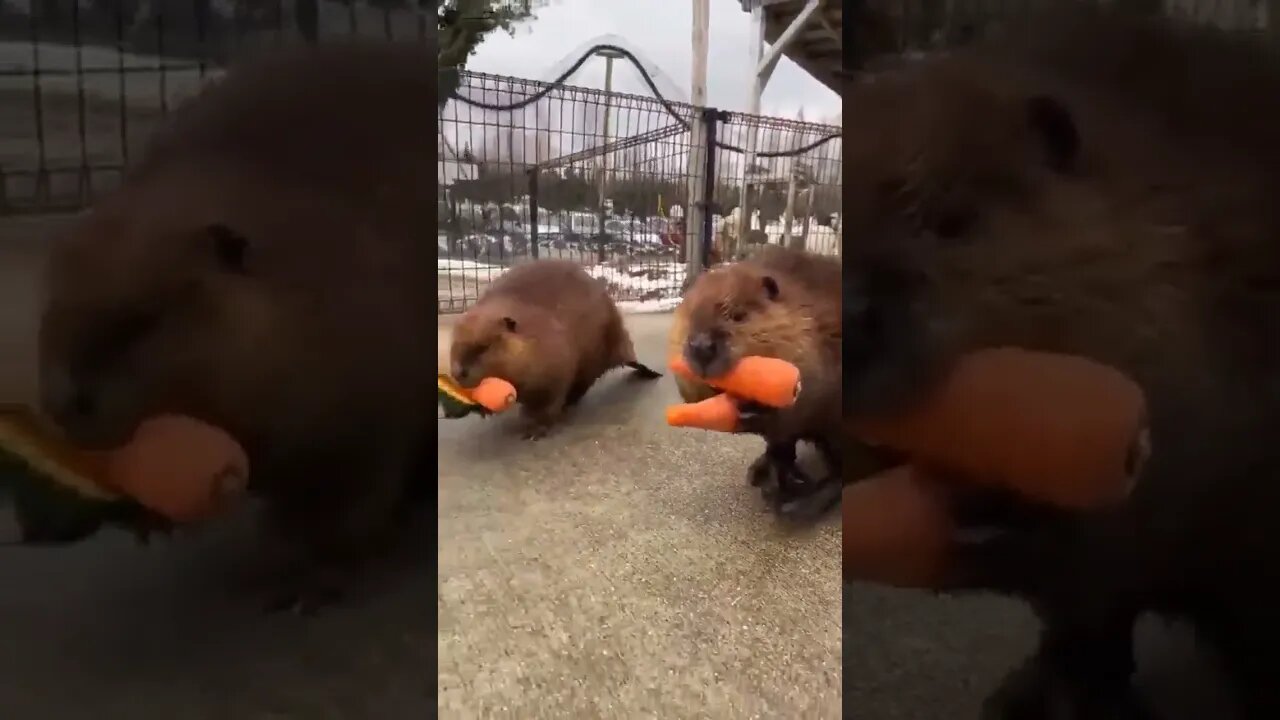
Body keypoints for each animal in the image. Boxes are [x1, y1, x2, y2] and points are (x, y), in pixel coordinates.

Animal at [37, 39, 437, 609]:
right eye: (53, 305)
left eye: (143, 320)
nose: (65, 402)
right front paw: (151, 520)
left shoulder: (372, 384)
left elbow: (350, 492)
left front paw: (305, 587)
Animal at [450, 257, 660, 438]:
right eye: (454, 344)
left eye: (484, 346)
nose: (459, 372)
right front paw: (483, 408)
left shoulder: (555, 361)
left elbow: (550, 397)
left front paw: (534, 430)